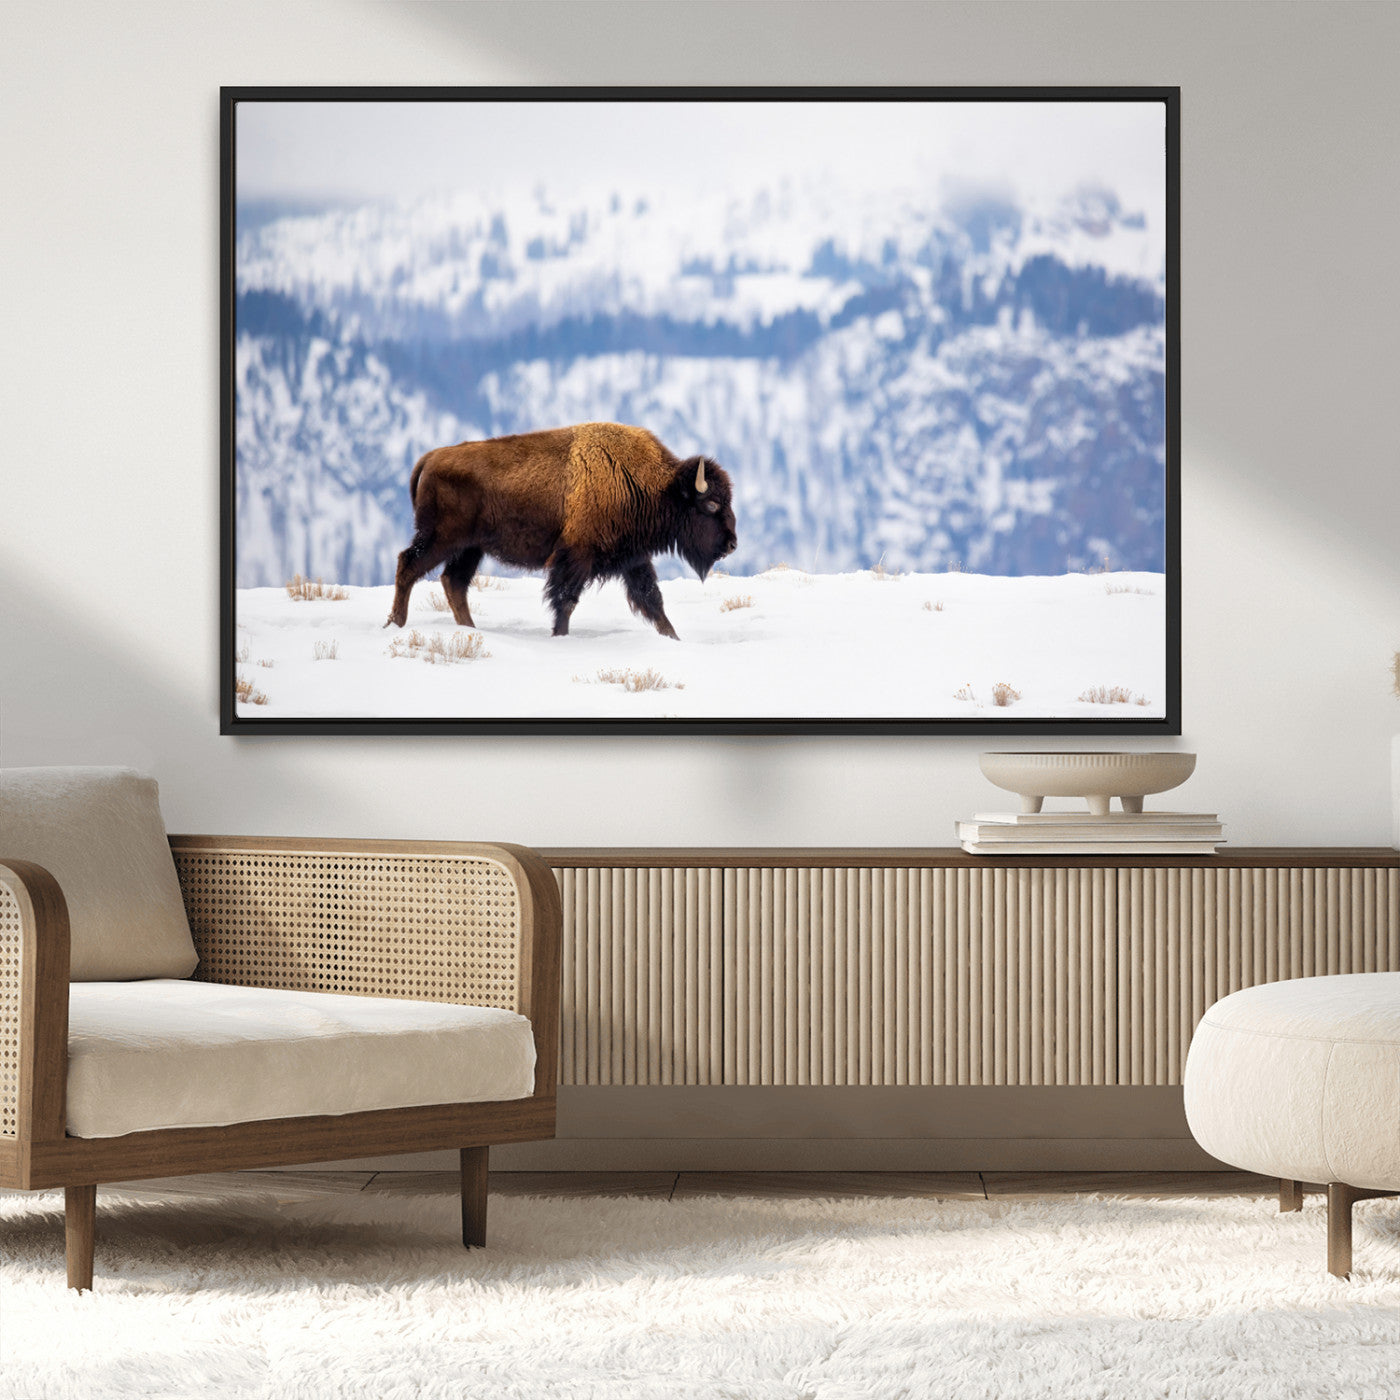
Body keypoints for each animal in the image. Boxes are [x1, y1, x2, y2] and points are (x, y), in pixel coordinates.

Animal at [385, 422, 737, 639]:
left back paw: (470, 630)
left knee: (453, 582)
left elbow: (652, 601)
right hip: (441, 539)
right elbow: (566, 600)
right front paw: (560, 636)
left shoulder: (634, 559)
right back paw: (396, 624)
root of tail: (431, 457)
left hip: (470, 548)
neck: (651, 485)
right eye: (711, 505)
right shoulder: (575, 558)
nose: (732, 544)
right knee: (409, 565)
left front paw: (675, 639)